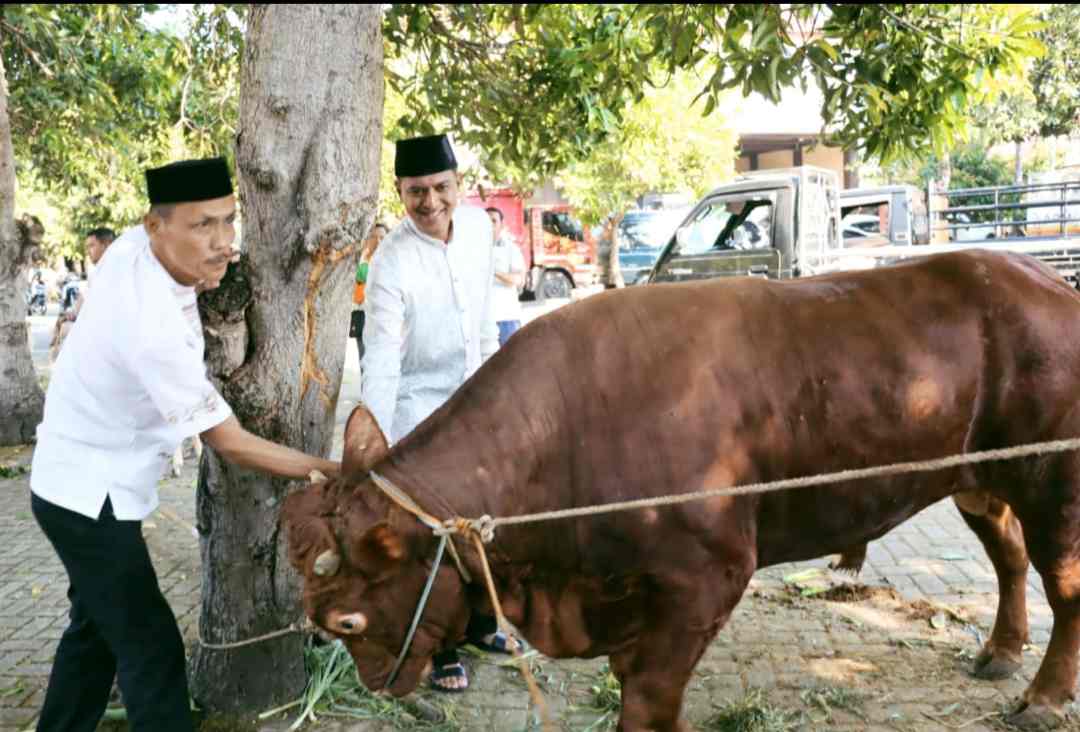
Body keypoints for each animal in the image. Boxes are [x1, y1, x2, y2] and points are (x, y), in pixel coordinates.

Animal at [282, 252, 1080, 732]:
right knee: (1008, 557)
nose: (379, 681)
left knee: (1063, 586)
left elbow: (648, 699)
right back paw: (1000, 651)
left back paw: (1042, 696)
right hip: (980, 479)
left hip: (1053, 484)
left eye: (347, 621)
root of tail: (1037, 275)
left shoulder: (705, 577)